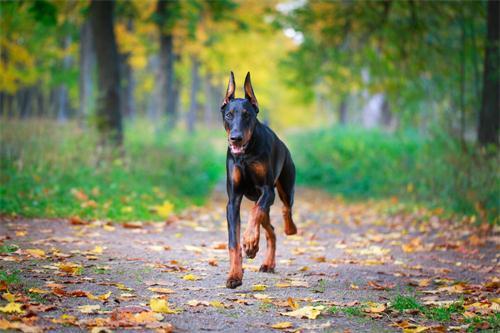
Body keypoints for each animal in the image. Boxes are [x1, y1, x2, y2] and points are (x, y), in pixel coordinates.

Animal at [220, 70, 296, 288]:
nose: (235, 138)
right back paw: (267, 262)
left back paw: (289, 229)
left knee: (284, 209)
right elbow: (233, 242)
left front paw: (250, 241)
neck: (245, 154)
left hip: (285, 187)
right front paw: (235, 275)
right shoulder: (233, 200)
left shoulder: (267, 190)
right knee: (270, 230)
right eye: (229, 115)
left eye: (247, 115)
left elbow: (255, 214)